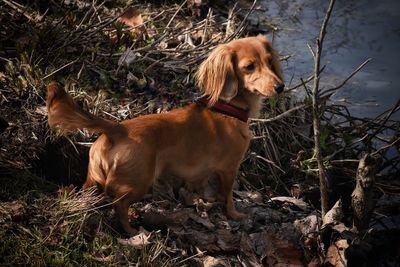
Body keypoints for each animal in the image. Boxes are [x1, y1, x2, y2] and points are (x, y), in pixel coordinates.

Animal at [47, 35, 284, 234]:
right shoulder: (229, 168)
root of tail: (117, 128)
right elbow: (228, 196)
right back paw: (131, 231)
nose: (280, 86)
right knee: (119, 205)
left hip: (93, 179)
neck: (227, 109)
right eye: (249, 67)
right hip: (139, 182)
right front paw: (234, 215)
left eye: (269, 61)